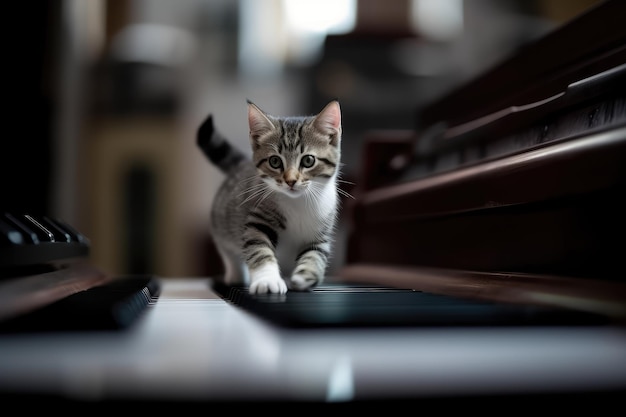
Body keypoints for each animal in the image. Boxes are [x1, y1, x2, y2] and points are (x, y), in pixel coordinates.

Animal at [195, 99, 342, 294]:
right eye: (275, 161)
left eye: (308, 160)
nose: (291, 180)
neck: (298, 202)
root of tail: (242, 164)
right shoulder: (258, 219)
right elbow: (260, 249)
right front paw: (267, 280)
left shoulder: (321, 231)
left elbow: (315, 254)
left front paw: (306, 276)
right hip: (221, 218)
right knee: (227, 248)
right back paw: (236, 275)